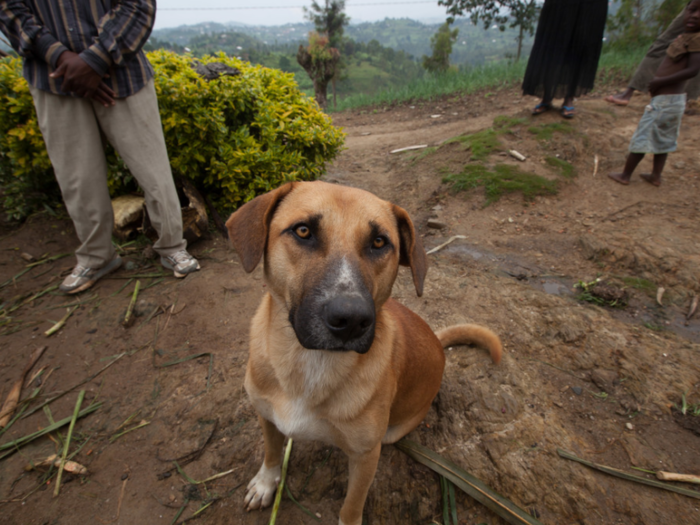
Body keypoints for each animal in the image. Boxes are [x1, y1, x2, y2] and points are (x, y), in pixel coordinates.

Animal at [227, 181, 500, 524]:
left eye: (379, 242)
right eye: (303, 231)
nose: (351, 319)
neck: (310, 363)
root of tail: (438, 342)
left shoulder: (366, 455)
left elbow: (352, 505)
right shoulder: (267, 416)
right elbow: (272, 452)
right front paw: (265, 483)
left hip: (392, 433)